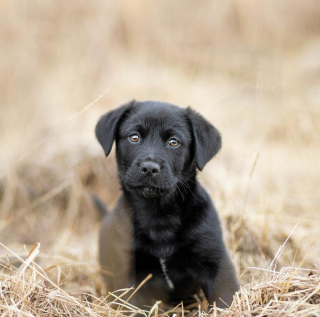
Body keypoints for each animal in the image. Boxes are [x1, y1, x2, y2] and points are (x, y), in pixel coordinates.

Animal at [96, 100, 239, 308]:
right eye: (134, 137)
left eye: (174, 142)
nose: (149, 168)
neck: (159, 214)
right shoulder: (128, 267)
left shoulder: (215, 262)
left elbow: (225, 298)